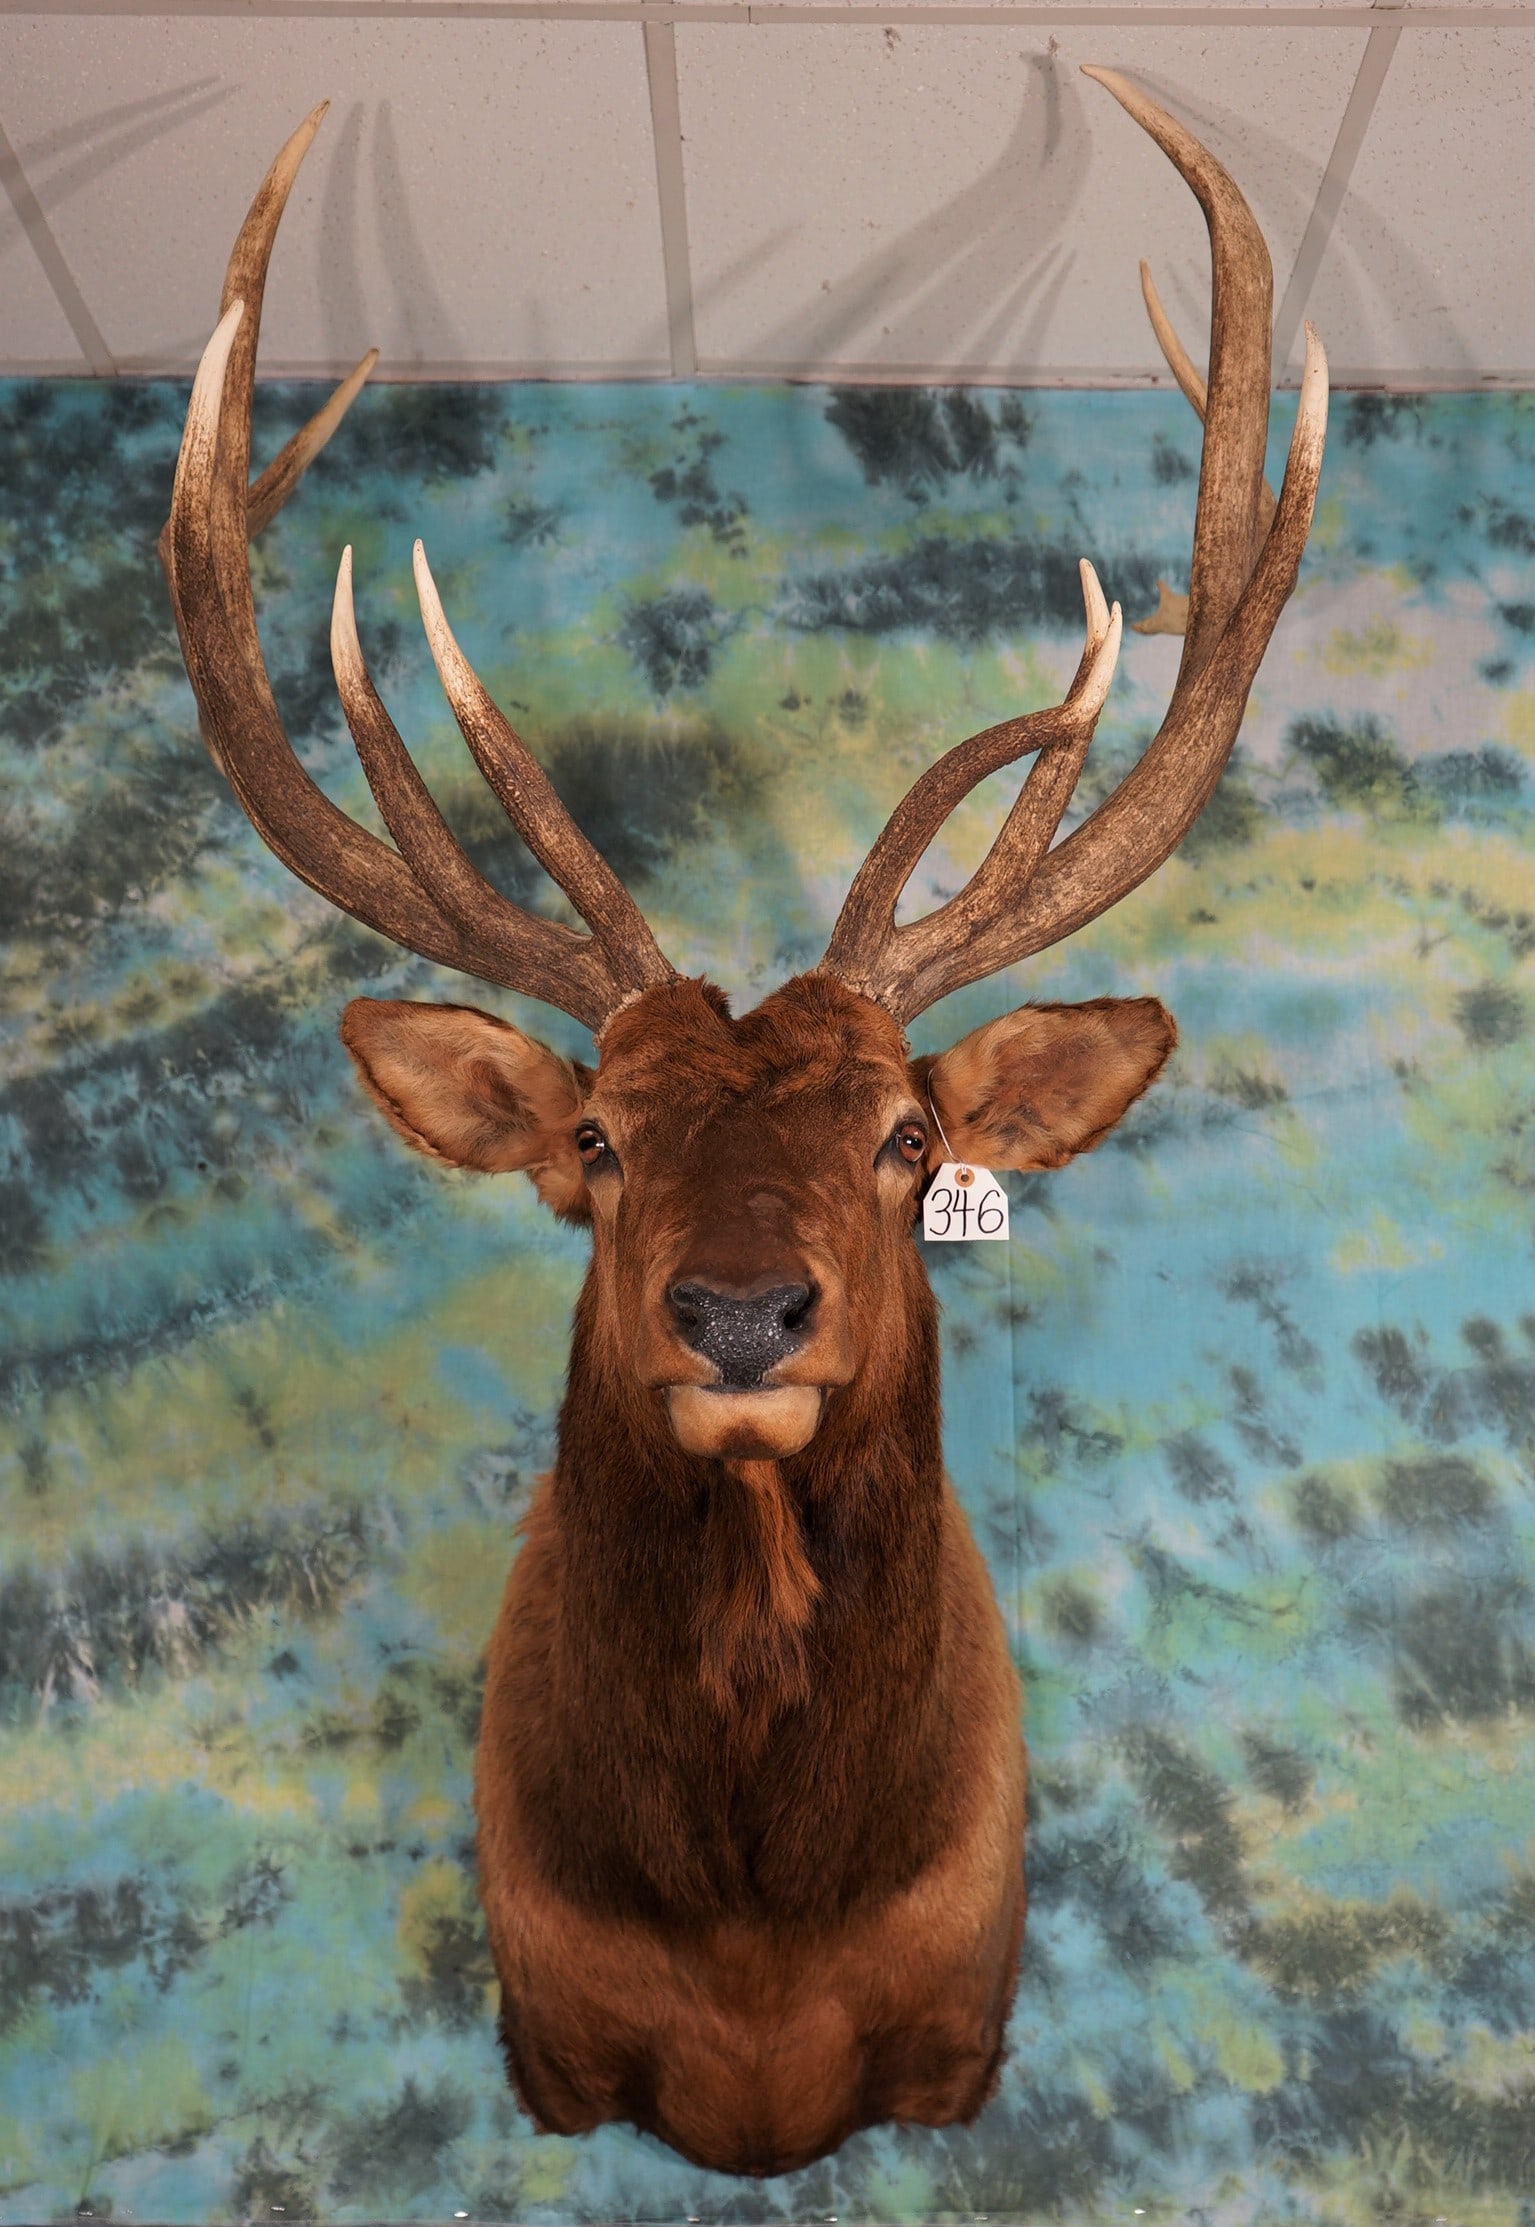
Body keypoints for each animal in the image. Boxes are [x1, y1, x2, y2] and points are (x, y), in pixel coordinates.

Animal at [160, 72, 1326, 2177]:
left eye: (901, 1131)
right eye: (599, 1140)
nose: (740, 1314)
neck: (763, 1937)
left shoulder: (961, 2036)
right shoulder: (546, 2046)